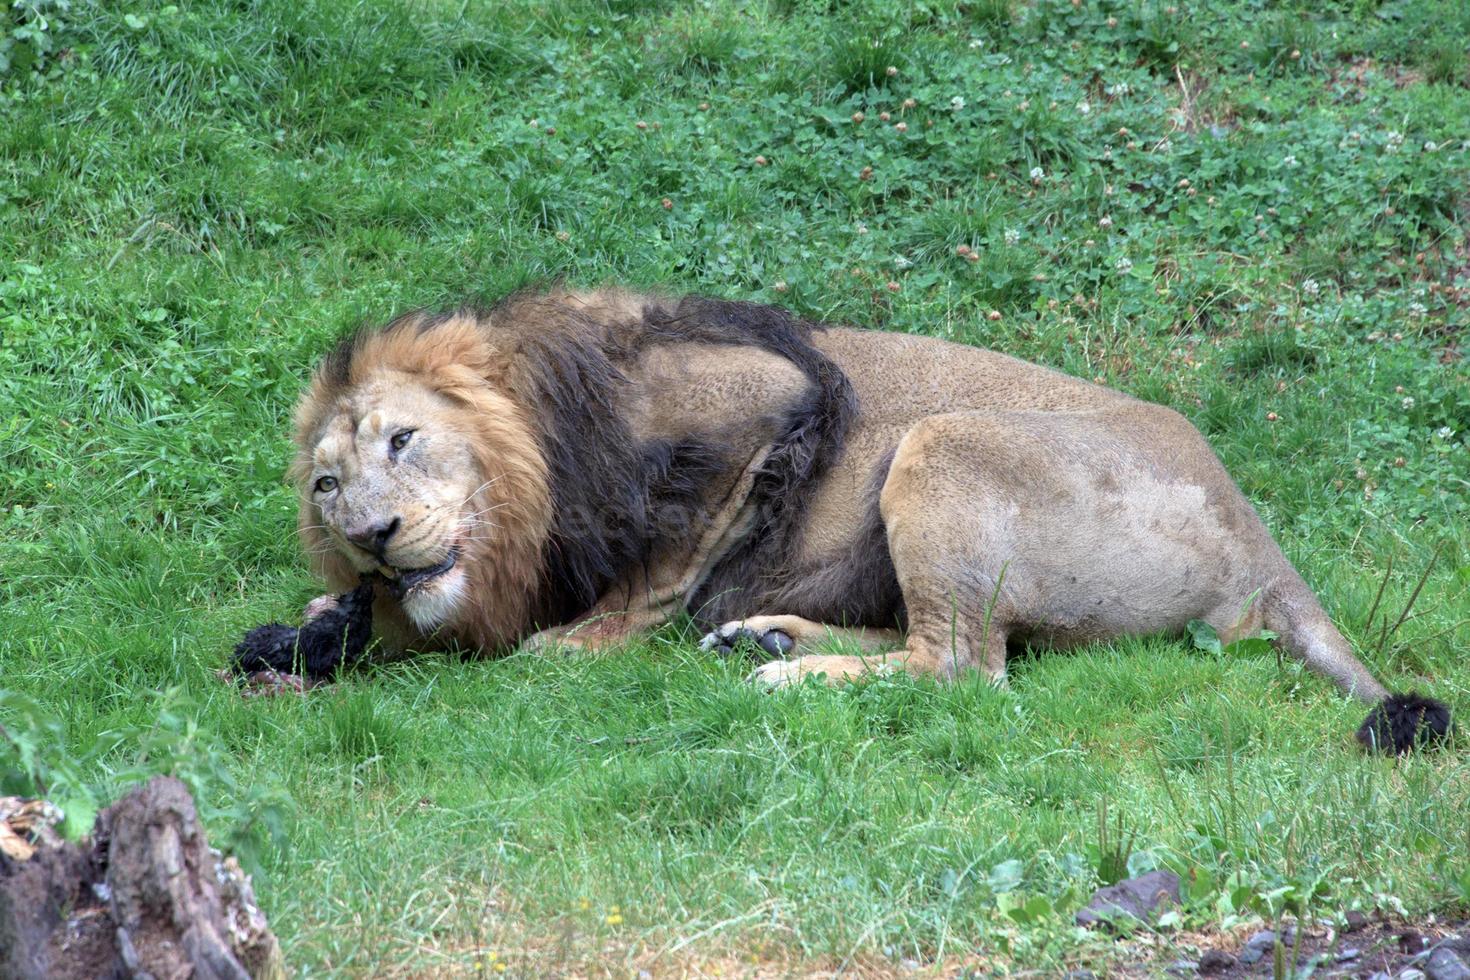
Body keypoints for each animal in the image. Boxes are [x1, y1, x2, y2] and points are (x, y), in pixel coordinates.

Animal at [286, 287, 1446, 758]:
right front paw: (322, 619)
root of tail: (1260, 540)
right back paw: (772, 637)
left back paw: (787, 672)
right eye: (327, 485)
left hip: (940, 438)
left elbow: (658, 573)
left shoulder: (754, 401)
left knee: (962, 668)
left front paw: (578, 642)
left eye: (403, 441)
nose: (374, 536)